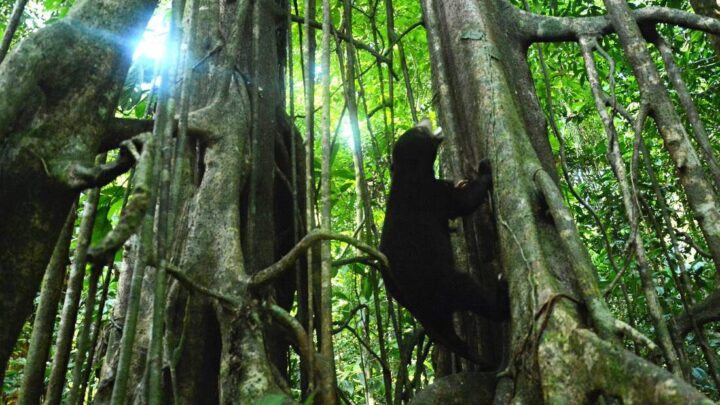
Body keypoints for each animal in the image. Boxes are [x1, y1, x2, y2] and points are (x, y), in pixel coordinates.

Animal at [378, 119, 509, 367]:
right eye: (420, 130)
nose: (424, 120)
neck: (408, 175)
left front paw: (462, 181)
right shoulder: (435, 195)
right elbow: (465, 203)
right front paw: (484, 169)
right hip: (444, 284)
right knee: (471, 293)